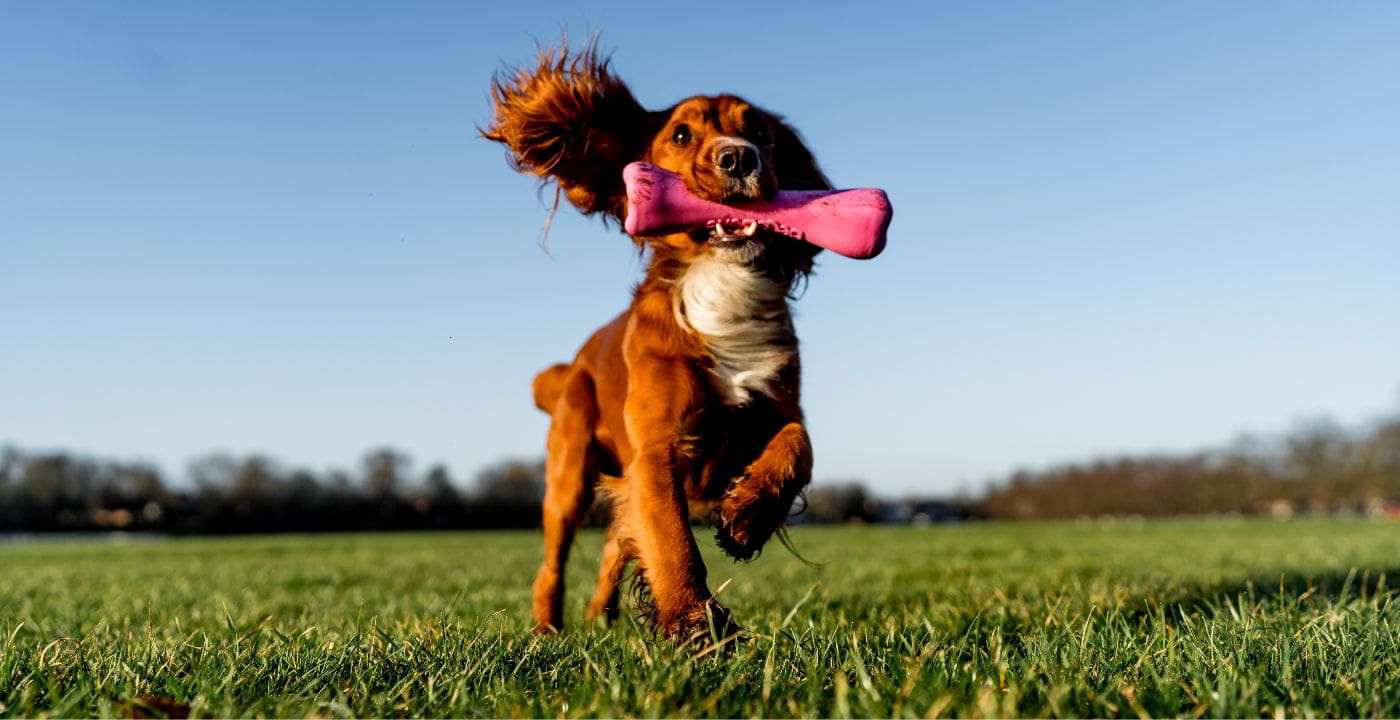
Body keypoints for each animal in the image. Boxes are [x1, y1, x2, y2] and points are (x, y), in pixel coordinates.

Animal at [484, 40, 828, 638]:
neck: (718, 281)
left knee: (616, 541)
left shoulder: (776, 406)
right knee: (554, 562)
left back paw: (601, 616)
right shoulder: (657, 447)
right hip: (568, 477)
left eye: (759, 132)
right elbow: (670, 540)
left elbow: (798, 445)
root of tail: (570, 365)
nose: (739, 158)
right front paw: (697, 624)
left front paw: (749, 515)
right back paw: (548, 631)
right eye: (682, 135)